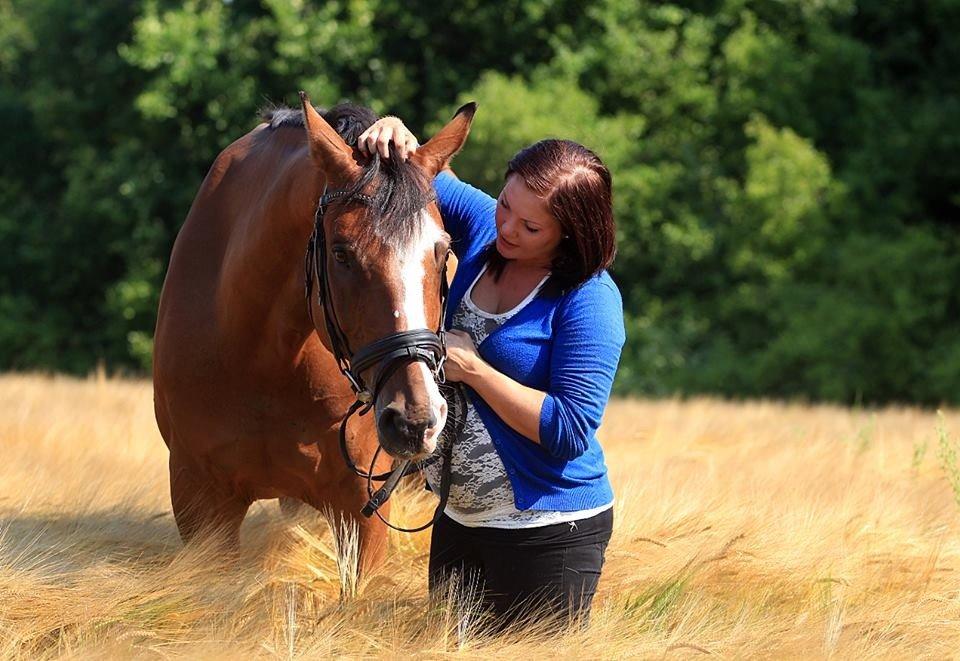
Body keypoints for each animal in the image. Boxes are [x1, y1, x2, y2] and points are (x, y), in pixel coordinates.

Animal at [153, 91, 476, 568]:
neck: (260, 360)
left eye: (442, 251)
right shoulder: (200, 502)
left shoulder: (360, 511)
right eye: (341, 254)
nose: (414, 419)